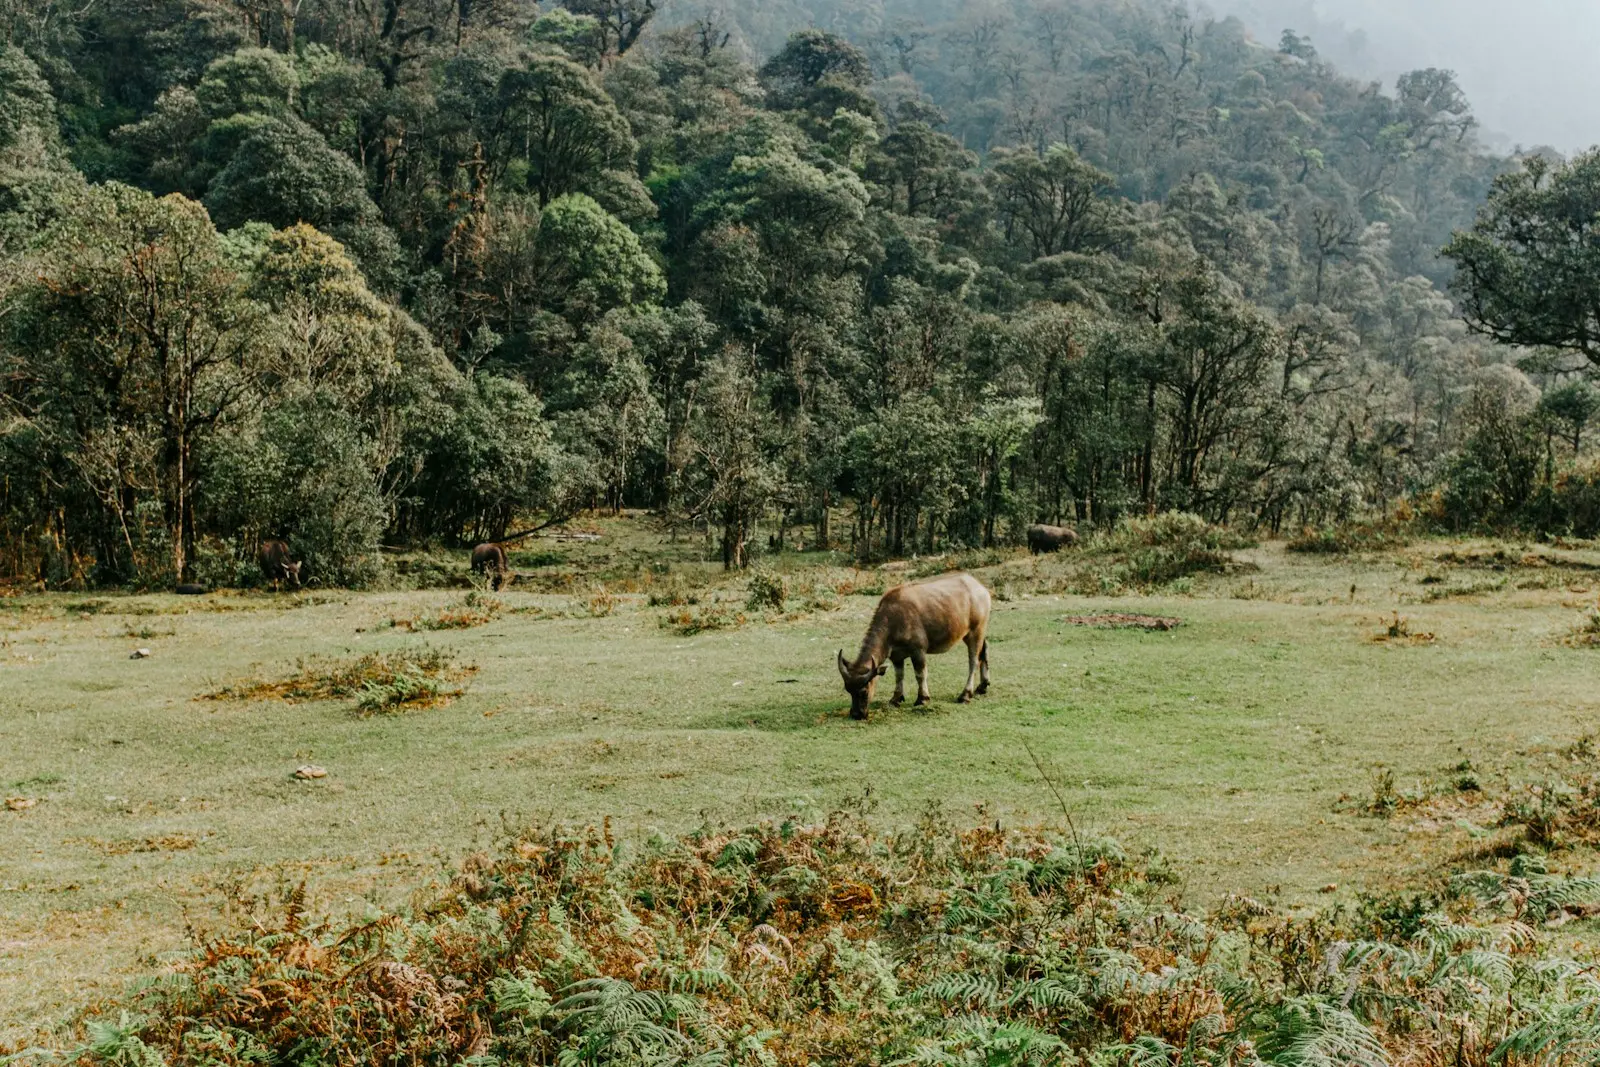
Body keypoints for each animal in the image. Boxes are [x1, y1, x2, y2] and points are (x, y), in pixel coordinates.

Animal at [837, 572, 992, 720]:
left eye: (864, 691)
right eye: (848, 689)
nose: (856, 714)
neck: (893, 619)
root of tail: (980, 588)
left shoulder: (918, 651)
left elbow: (920, 674)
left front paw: (922, 699)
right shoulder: (896, 656)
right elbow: (899, 675)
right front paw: (895, 699)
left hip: (975, 631)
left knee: (973, 661)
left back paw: (965, 695)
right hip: (974, 633)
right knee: (984, 652)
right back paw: (982, 686)